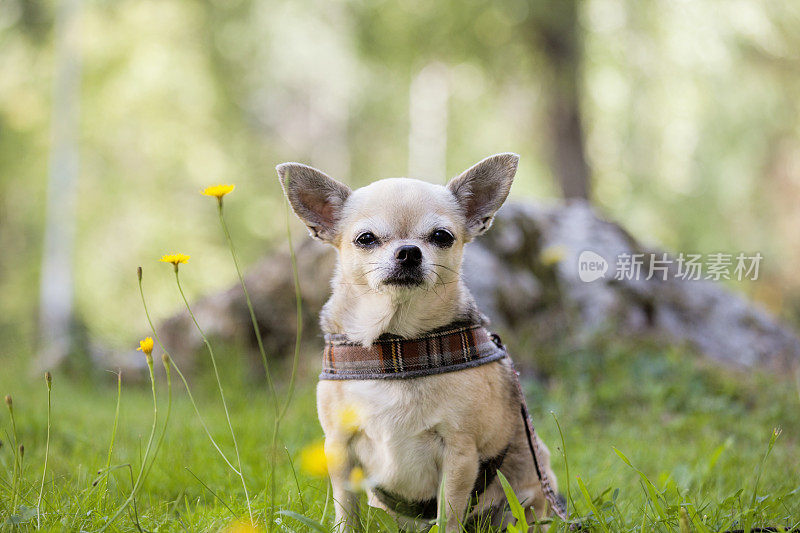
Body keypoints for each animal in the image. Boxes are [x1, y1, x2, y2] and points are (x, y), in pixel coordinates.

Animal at [278, 153, 552, 528]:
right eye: (366, 238)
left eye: (441, 236)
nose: (409, 252)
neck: (396, 345)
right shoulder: (339, 449)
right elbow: (346, 508)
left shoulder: (459, 453)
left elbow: (448, 514)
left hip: (526, 490)